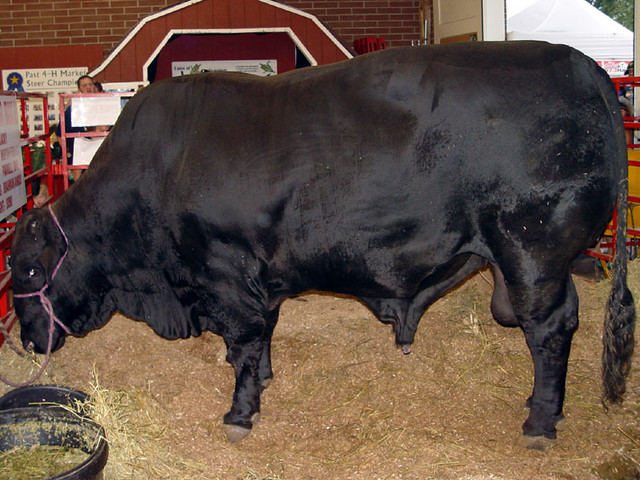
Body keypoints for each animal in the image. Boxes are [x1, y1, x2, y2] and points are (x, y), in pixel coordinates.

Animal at [9, 41, 635, 450]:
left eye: (29, 272)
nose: (25, 341)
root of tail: (582, 65)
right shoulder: (256, 281)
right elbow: (260, 337)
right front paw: (263, 380)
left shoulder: (225, 275)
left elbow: (243, 343)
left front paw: (240, 413)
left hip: (533, 251)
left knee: (549, 330)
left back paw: (540, 423)